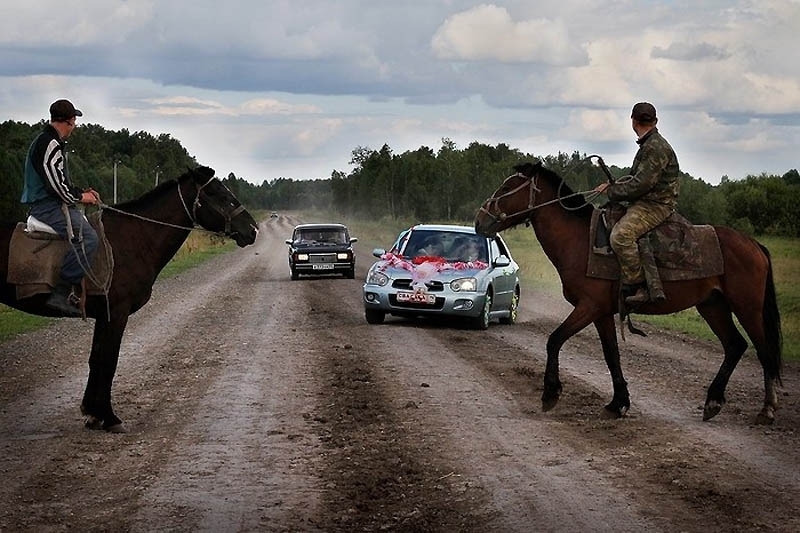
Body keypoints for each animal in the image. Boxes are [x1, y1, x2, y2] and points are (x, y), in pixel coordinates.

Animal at [1, 166, 258, 432]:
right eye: (219, 194)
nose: (252, 230)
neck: (135, 239)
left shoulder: (104, 315)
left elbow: (96, 359)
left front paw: (92, 413)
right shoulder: (117, 312)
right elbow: (109, 361)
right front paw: (109, 417)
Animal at [476, 160, 780, 422]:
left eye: (507, 187)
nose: (480, 221)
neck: (580, 240)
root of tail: (754, 245)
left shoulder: (589, 306)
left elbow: (555, 340)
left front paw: (551, 393)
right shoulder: (601, 313)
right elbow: (611, 354)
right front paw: (618, 403)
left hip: (747, 308)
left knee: (763, 351)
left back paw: (767, 409)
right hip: (713, 306)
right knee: (735, 346)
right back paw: (713, 402)